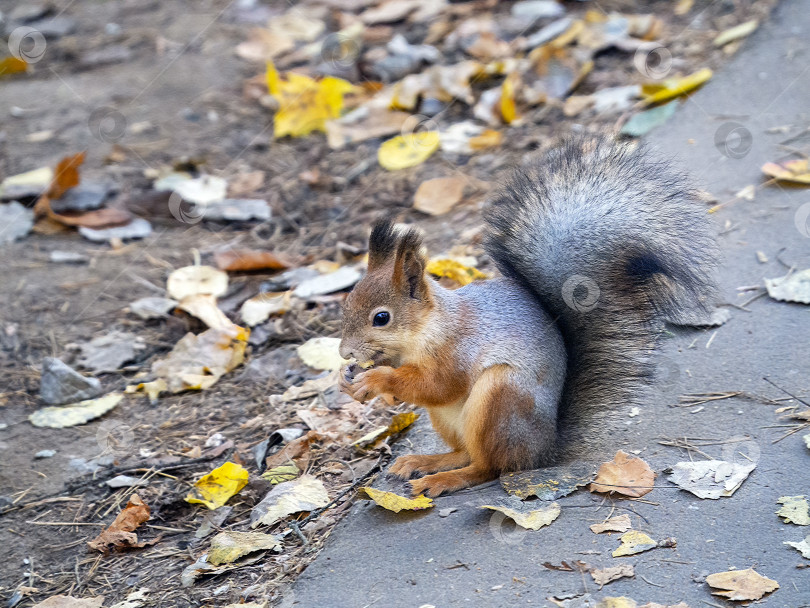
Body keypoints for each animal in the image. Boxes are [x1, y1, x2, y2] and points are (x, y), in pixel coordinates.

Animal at [338, 135, 716, 496]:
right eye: (348, 303)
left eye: (381, 318)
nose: (344, 353)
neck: (424, 332)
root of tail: (544, 449)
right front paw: (351, 383)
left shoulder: (459, 348)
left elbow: (438, 385)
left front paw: (375, 380)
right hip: (450, 421)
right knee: (464, 452)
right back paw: (425, 461)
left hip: (500, 397)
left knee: (488, 466)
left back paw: (444, 479)